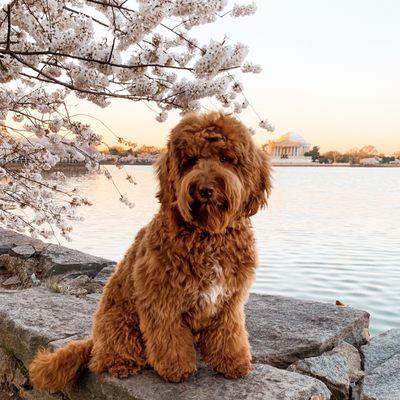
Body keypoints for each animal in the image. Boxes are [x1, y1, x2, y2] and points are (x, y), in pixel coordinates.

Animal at [28, 111, 272, 390]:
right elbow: (169, 338)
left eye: (225, 159)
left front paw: (232, 362)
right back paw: (122, 364)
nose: (205, 189)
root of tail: (94, 342)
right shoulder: (162, 300)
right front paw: (176, 369)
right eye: (190, 161)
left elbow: (229, 333)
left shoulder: (229, 301)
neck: (207, 234)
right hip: (119, 322)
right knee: (109, 355)